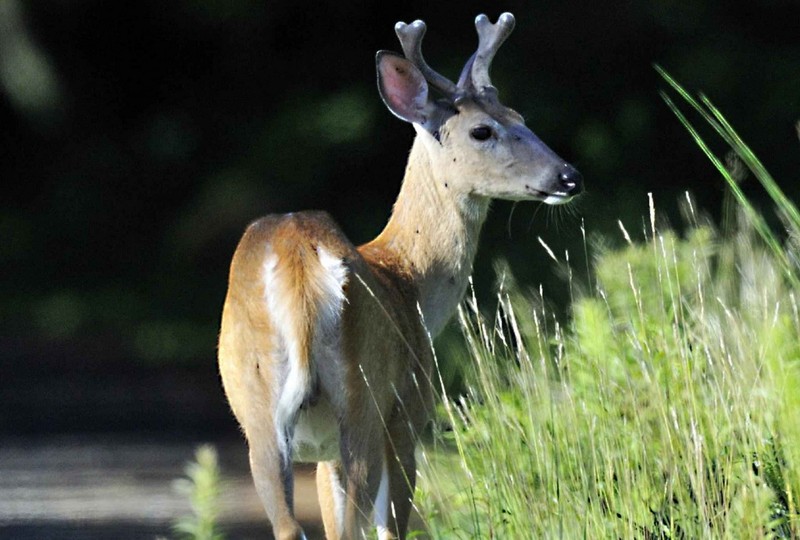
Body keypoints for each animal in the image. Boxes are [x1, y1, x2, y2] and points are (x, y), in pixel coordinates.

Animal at [217, 12, 580, 540]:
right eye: (482, 130)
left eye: (522, 117)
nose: (568, 176)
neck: (410, 281)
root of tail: (298, 262)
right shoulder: (409, 413)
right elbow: (392, 525)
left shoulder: (323, 454)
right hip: (364, 401)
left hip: (259, 414)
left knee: (290, 524)